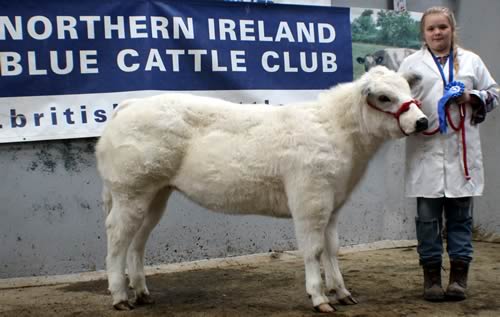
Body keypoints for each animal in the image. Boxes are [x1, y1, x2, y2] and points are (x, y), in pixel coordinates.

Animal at [95, 65, 428, 312]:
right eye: (384, 97)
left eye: (408, 90)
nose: (422, 122)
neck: (340, 133)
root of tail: (131, 104)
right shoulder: (310, 199)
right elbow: (314, 249)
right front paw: (319, 297)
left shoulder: (332, 203)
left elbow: (332, 247)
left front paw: (342, 292)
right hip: (130, 190)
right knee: (117, 236)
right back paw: (120, 296)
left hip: (155, 194)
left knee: (138, 239)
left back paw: (141, 292)